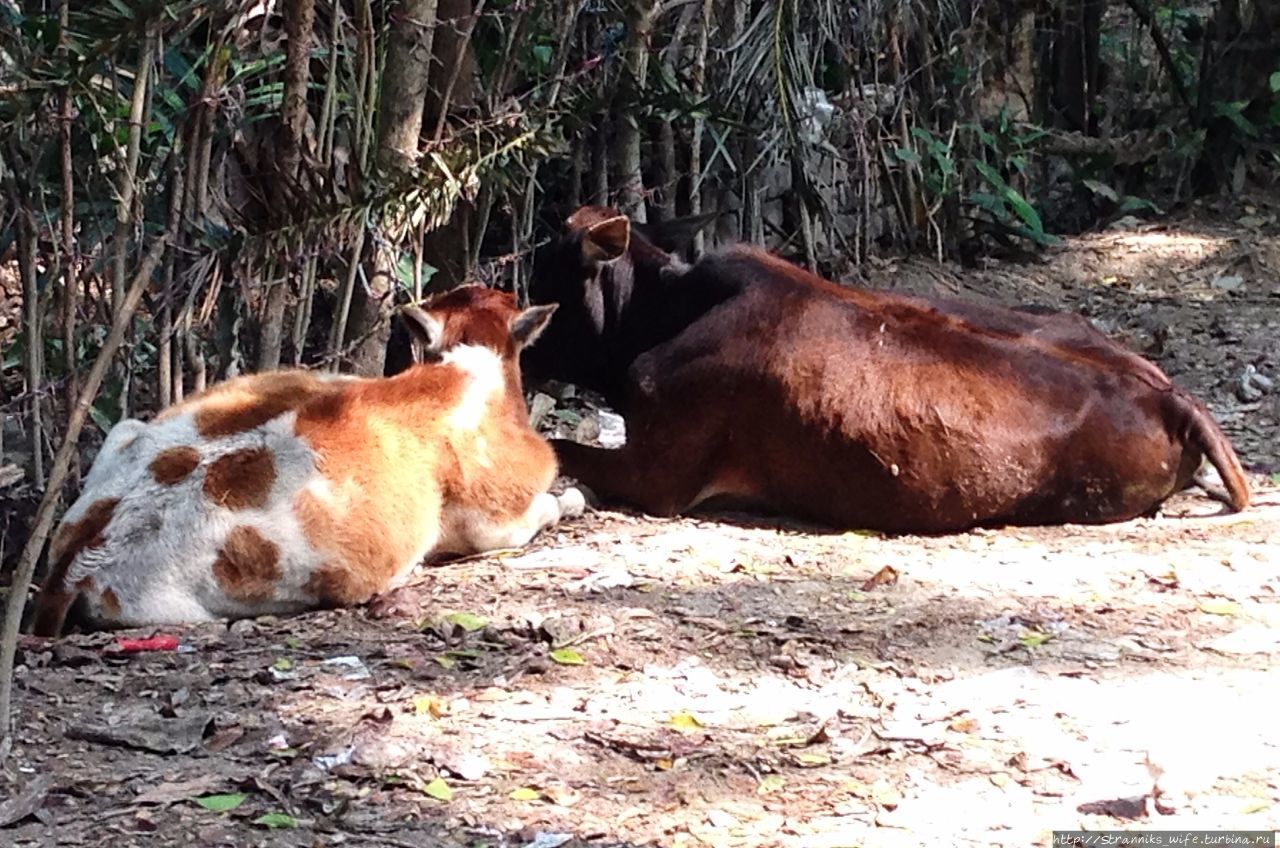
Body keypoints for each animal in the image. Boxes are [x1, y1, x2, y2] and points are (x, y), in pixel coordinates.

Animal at [27, 285, 586, 637]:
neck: (463, 369)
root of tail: (75, 564)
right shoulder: (494, 522)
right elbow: (551, 505)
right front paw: (573, 498)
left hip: (126, 430)